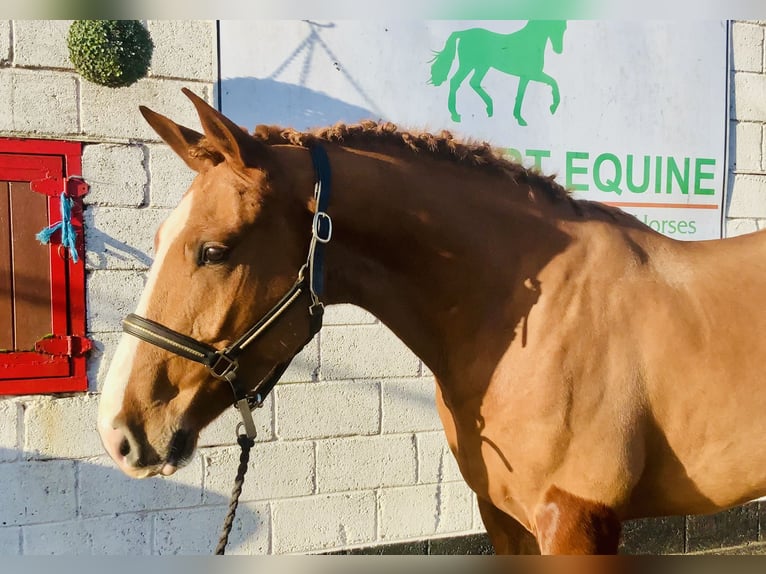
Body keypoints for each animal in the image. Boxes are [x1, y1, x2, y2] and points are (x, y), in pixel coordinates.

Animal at [429, 21, 567, 126]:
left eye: (564, 27)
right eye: (557, 25)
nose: (559, 50)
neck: (529, 43)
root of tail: (463, 34)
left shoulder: (525, 76)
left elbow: (520, 94)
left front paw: (519, 118)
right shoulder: (533, 74)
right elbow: (553, 82)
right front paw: (553, 107)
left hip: (481, 66)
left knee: (473, 82)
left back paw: (489, 107)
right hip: (469, 65)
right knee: (457, 81)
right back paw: (456, 114)